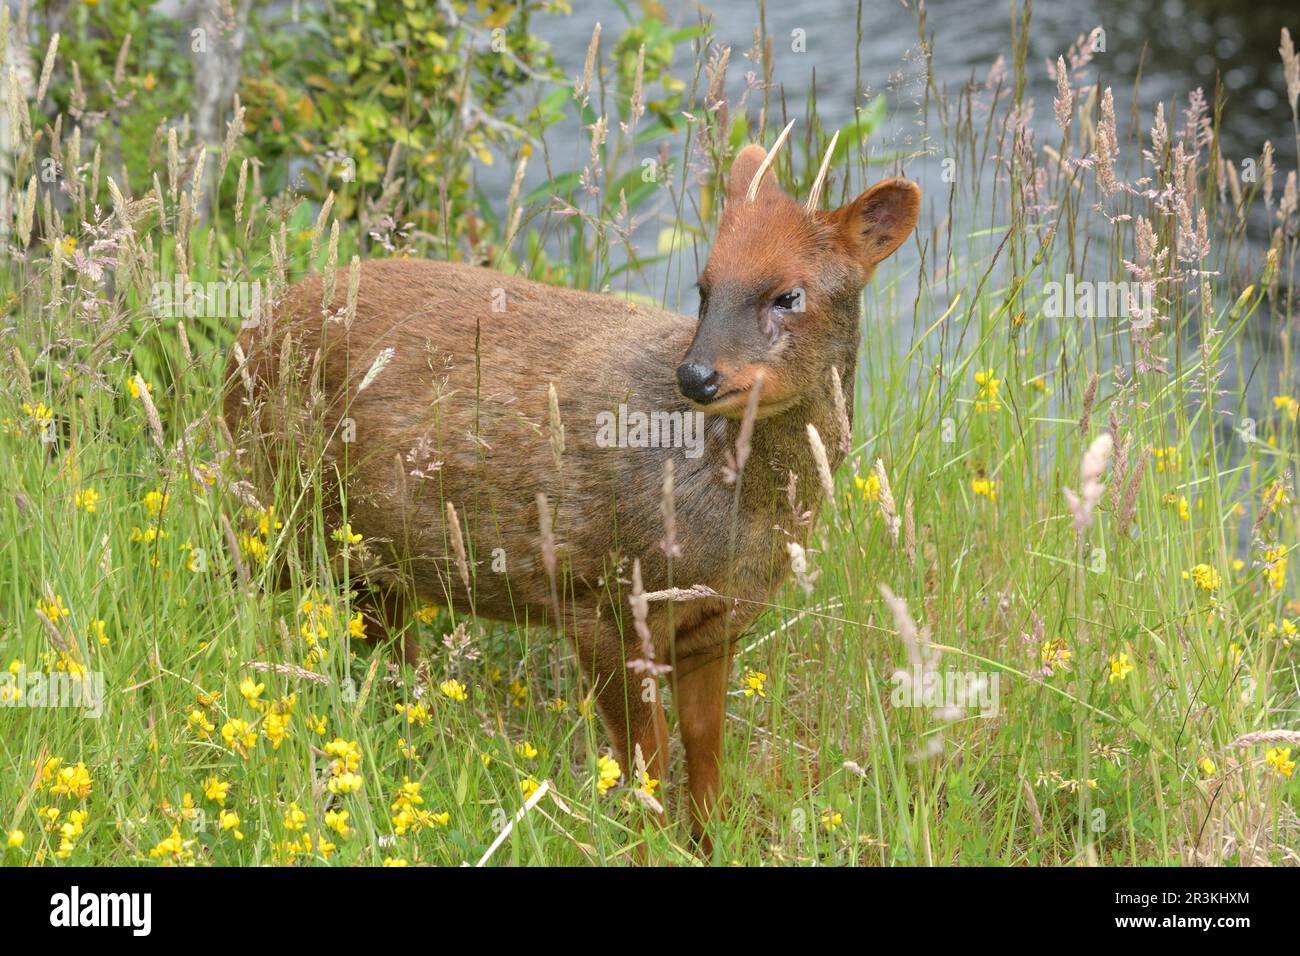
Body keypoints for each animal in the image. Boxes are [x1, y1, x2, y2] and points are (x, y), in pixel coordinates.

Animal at [223, 125, 920, 842]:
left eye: (789, 294)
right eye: (704, 287)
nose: (696, 376)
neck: (730, 521)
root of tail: (246, 337)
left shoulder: (718, 622)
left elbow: (704, 746)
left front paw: (707, 840)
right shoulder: (598, 599)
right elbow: (646, 757)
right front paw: (648, 845)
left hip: (366, 553)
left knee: (394, 661)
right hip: (291, 512)